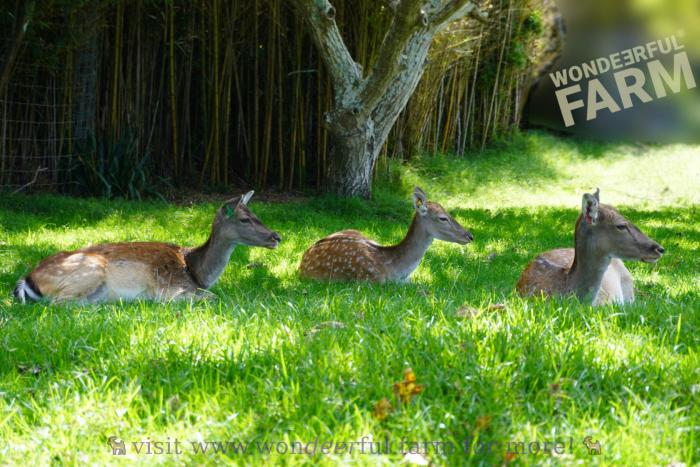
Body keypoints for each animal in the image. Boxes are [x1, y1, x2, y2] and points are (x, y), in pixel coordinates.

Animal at [13, 191, 281, 304]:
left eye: (256, 213)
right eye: (244, 219)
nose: (277, 236)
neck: (195, 272)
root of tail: (27, 279)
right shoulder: (172, 288)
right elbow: (212, 297)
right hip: (91, 269)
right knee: (59, 303)